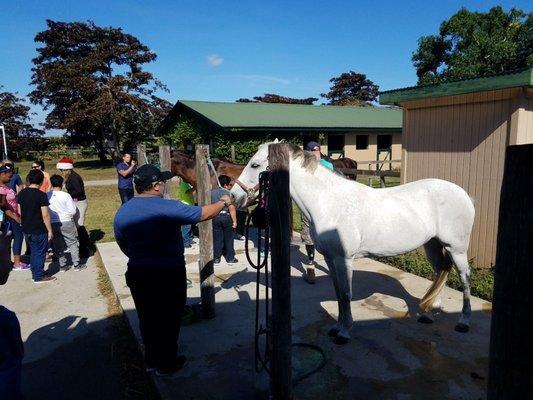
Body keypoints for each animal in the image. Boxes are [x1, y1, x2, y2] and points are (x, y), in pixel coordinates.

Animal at [230, 141, 474, 344]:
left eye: (255, 165)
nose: (233, 196)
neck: (329, 202)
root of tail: (464, 194)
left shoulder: (344, 259)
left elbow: (346, 293)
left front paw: (345, 332)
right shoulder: (331, 259)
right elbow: (339, 293)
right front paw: (337, 327)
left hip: (457, 248)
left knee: (464, 277)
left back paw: (464, 321)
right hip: (433, 244)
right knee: (441, 270)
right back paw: (431, 312)